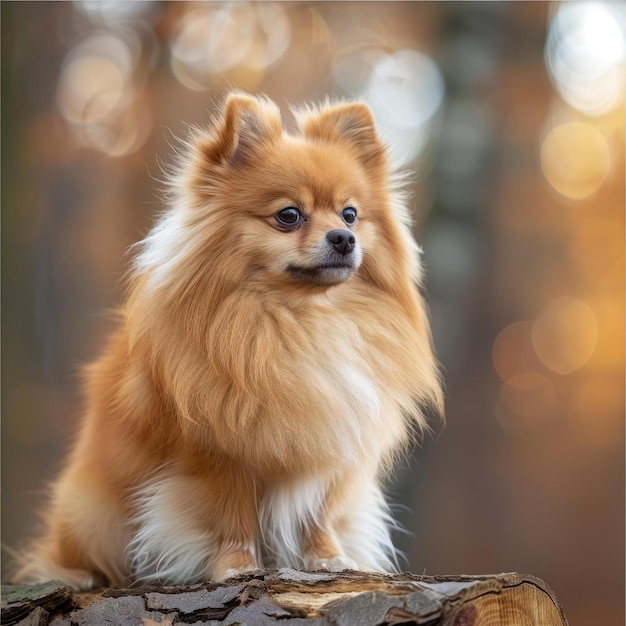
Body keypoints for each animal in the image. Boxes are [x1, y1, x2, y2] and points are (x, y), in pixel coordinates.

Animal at [15, 91, 444, 584]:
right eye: (289, 216)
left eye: (350, 214)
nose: (343, 238)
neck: (302, 321)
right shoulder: (218, 454)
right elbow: (231, 516)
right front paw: (237, 567)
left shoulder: (331, 446)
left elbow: (317, 511)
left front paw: (328, 559)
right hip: (91, 510)